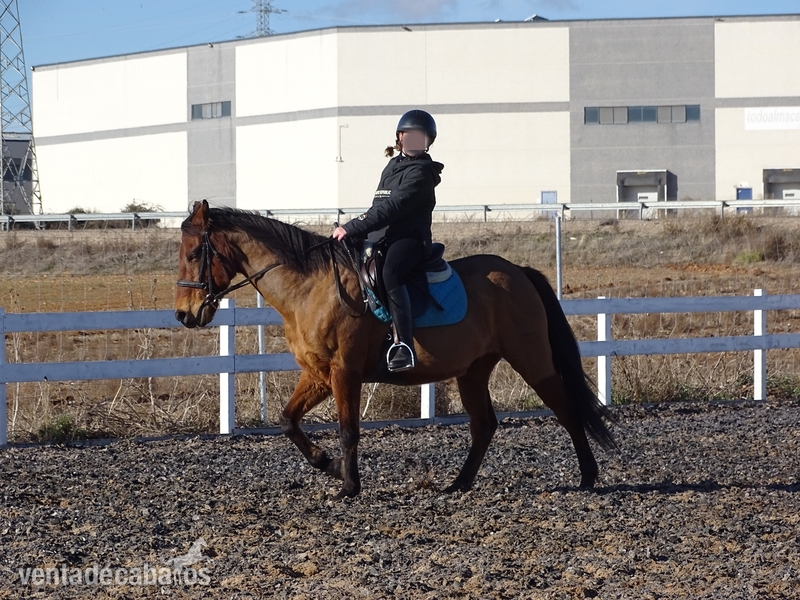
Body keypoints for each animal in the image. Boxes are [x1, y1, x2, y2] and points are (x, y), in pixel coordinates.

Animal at [174, 200, 614, 500]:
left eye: (195, 254)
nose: (184, 314)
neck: (311, 288)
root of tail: (518, 271)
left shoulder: (344, 372)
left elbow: (348, 429)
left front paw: (348, 485)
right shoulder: (318, 374)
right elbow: (287, 421)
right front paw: (329, 465)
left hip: (532, 360)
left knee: (566, 409)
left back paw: (588, 477)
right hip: (473, 369)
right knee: (484, 424)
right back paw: (458, 484)